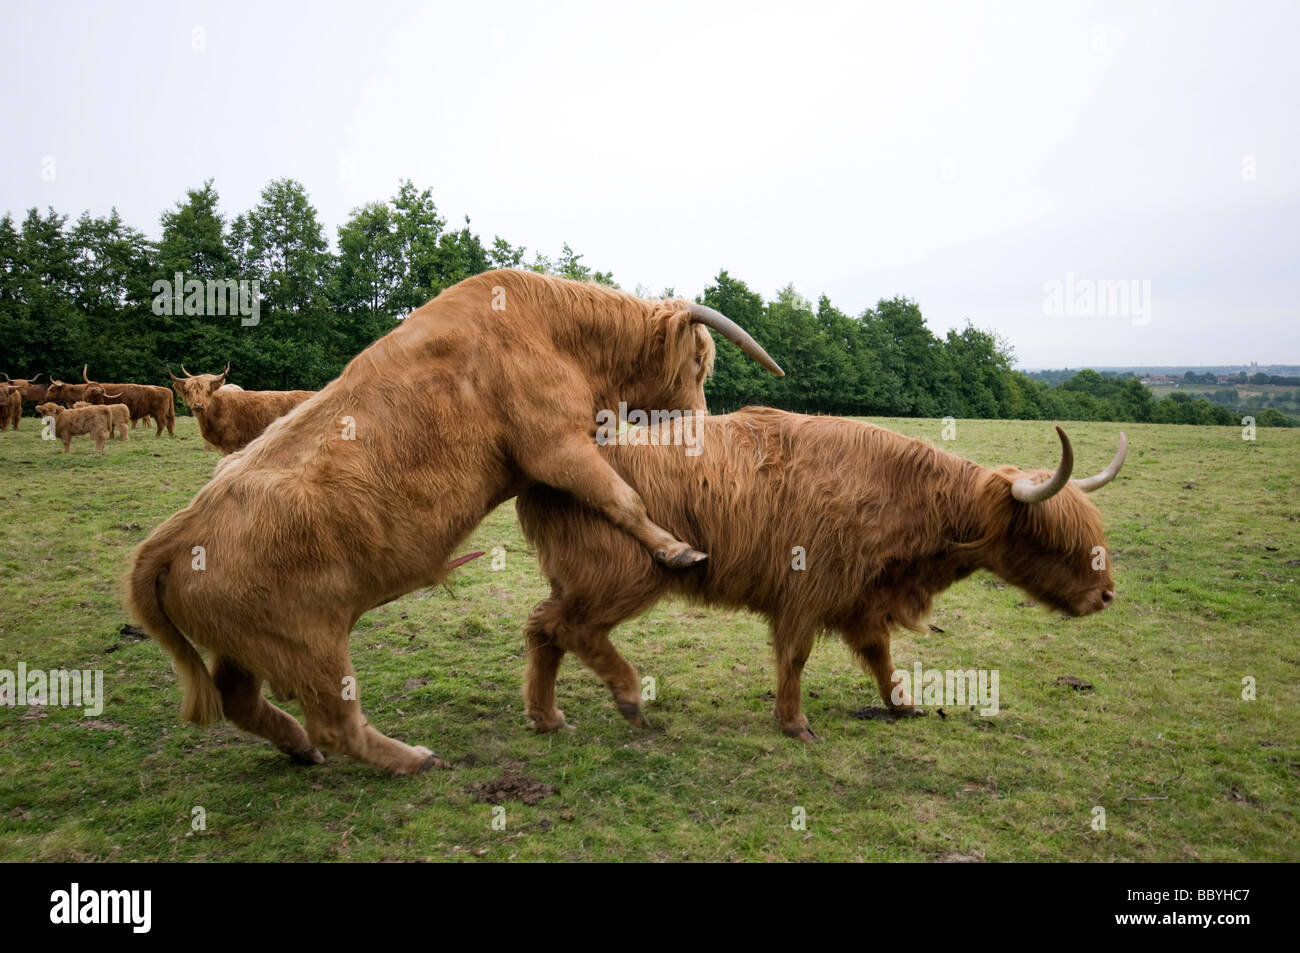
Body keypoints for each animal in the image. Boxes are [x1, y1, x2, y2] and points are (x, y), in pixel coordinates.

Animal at [515, 408, 1127, 742]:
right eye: (1051, 538)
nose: (1105, 596)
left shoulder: (863, 599)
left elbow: (881, 656)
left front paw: (904, 705)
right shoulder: (806, 593)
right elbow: (796, 656)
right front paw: (794, 723)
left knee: (543, 628)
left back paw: (547, 717)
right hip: (626, 575)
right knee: (568, 628)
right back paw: (628, 700)